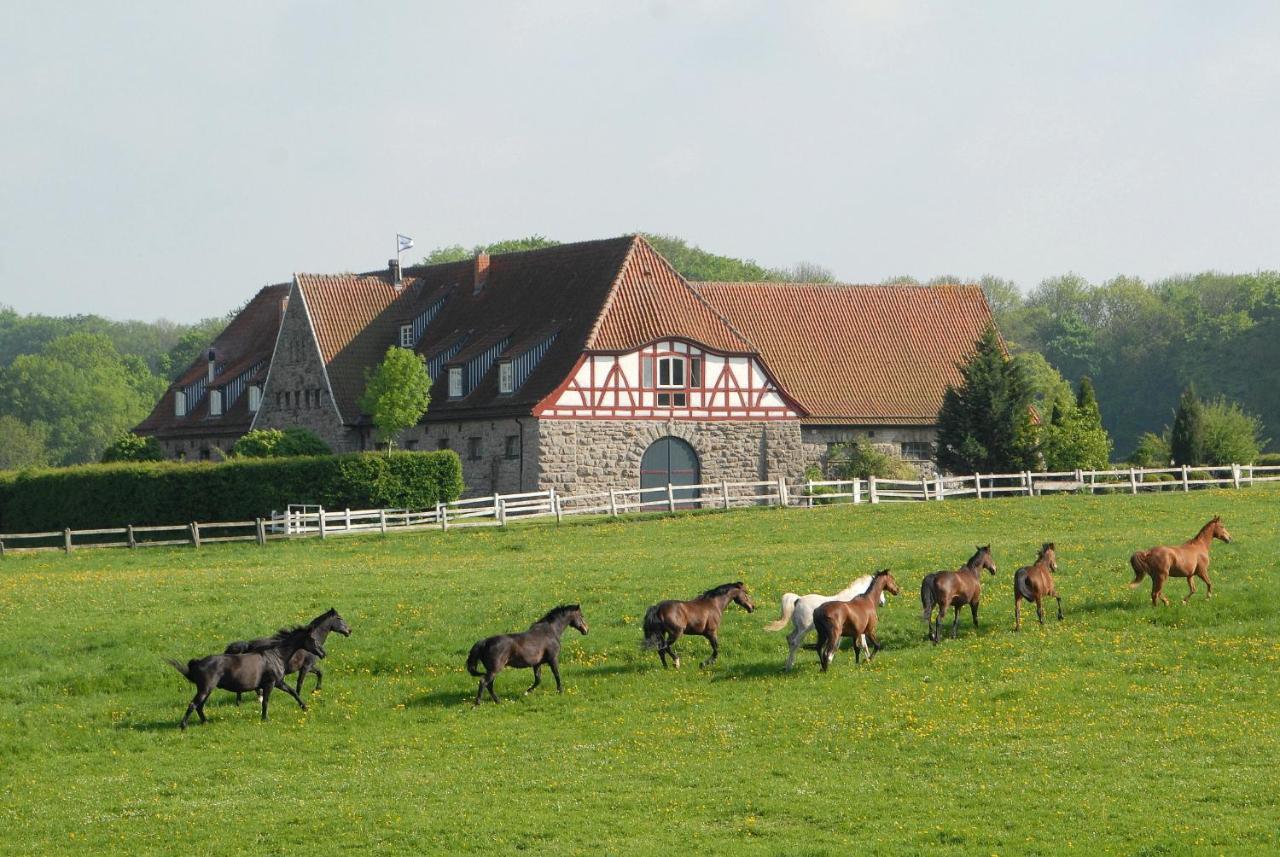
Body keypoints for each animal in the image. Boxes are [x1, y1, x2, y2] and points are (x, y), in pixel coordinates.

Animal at [166, 624, 325, 731]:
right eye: (312, 639)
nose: (323, 653)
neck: (276, 655)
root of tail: (198, 663)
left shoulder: (279, 682)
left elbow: (293, 692)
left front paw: (305, 707)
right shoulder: (270, 683)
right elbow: (265, 701)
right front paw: (265, 718)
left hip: (207, 690)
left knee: (199, 706)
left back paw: (205, 722)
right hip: (206, 689)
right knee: (193, 705)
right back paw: (183, 726)